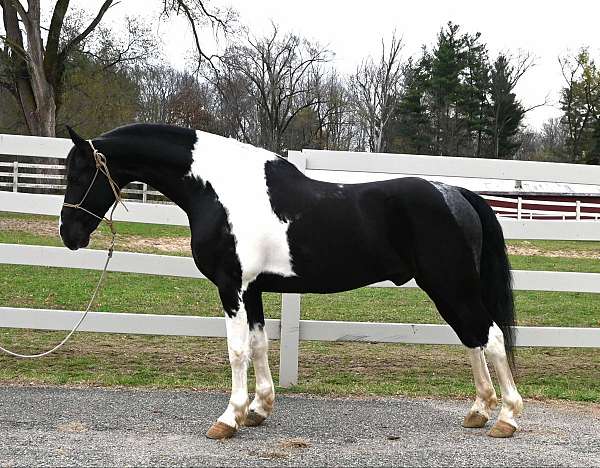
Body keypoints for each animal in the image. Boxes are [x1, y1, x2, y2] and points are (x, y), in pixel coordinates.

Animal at [58, 123, 524, 438]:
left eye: (80, 174)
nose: (69, 234)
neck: (221, 190)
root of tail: (457, 193)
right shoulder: (254, 289)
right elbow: (260, 345)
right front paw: (258, 409)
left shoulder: (231, 287)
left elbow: (236, 351)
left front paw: (228, 418)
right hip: (448, 289)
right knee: (472, 339)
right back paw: (479, 411)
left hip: (452, 285)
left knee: (490, 337)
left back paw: (505, 417)